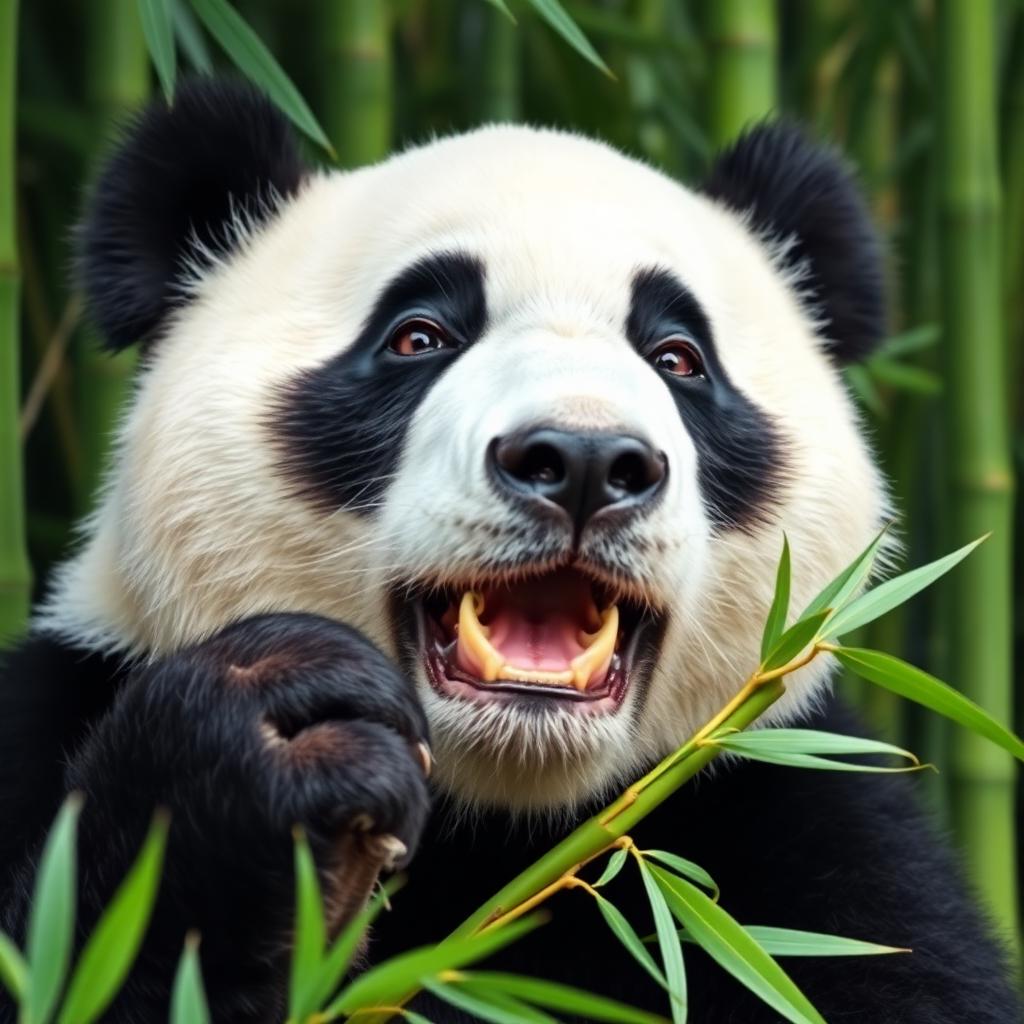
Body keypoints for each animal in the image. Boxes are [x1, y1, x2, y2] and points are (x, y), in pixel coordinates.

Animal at [0, 78, 1019, 1023]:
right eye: (418, 336)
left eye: (678, 357)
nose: (584, 460)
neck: (506, 829)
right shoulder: (72, 695)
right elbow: (79, 946)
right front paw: (275, 757)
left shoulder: (798, 834)